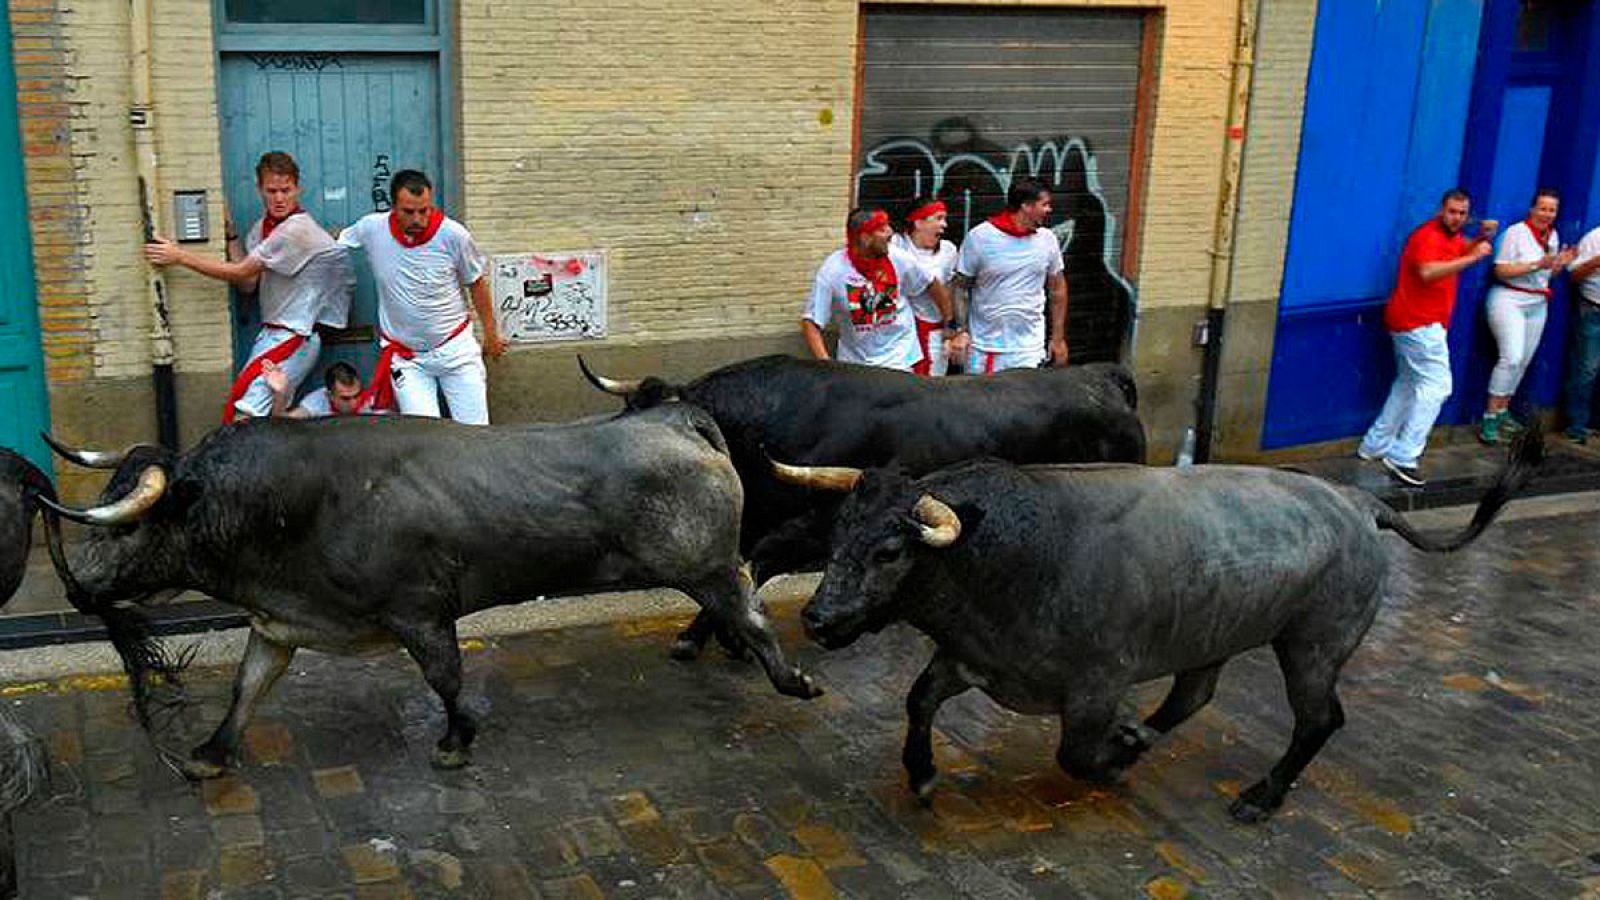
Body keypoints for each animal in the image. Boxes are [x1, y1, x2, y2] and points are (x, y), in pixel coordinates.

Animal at [42, 403, 819, 775]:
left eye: (126, 525)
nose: (77, 587)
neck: (295, 504)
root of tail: (672, 418)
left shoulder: (419, 612)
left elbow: (445, 680)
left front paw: (454, 740)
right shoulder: (277, 625)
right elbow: (248, 687)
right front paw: (210, 752)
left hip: (707, 565)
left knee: (751, 615)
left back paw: (793, 679)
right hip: (704, 571)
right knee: (734, 614)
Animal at [780, 425, 1542, 819]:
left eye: (888, 551)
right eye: (838, 533)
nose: (819, 618)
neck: (1011, 553)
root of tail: (1358, 505)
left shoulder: (1094, 685)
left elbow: (1076, 756)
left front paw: (1115, 758)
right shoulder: (971, 658)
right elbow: (918, 701)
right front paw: (922, 773)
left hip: (1313, 647)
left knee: (1318, 720)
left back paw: (1260, 796)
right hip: (1215, 634)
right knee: (1193, 696)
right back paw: (1146, 737)